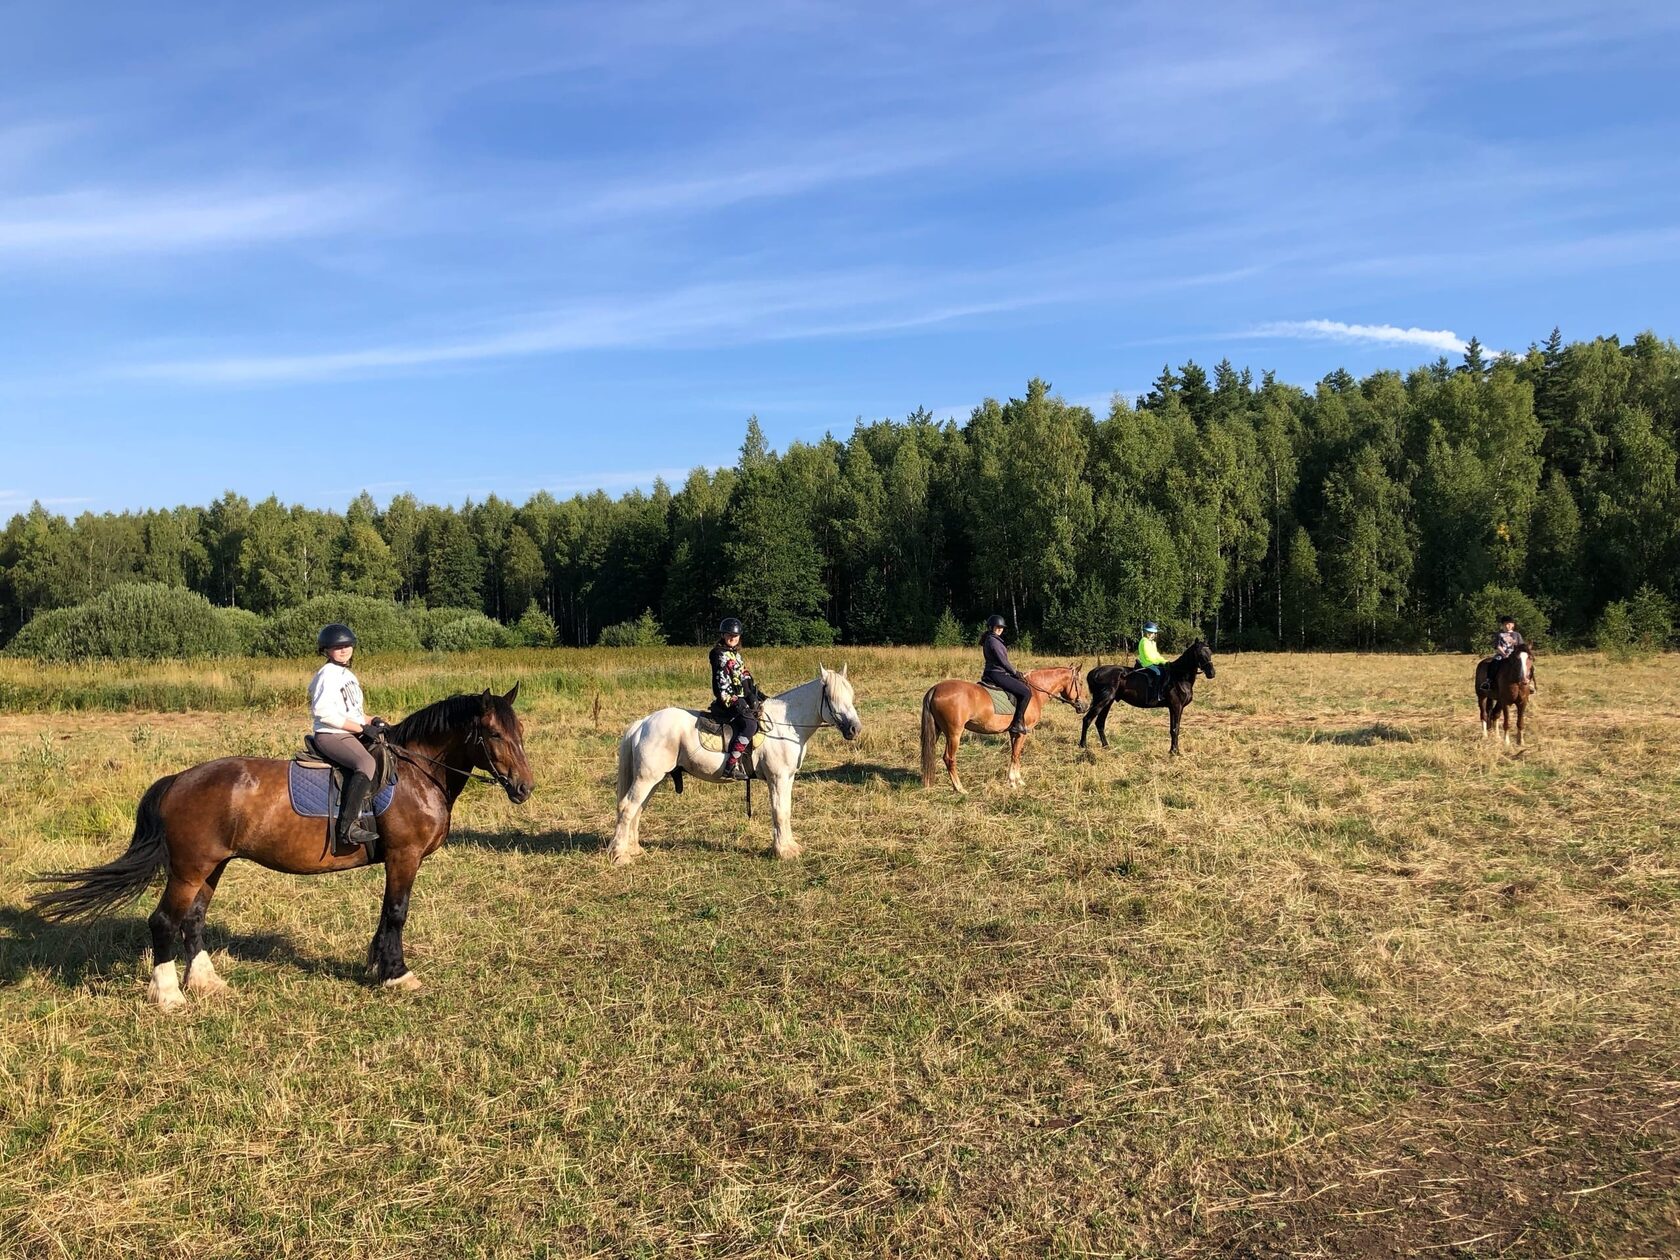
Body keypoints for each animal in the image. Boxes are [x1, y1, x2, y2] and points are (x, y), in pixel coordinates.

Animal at [31, 685, 530, 1014]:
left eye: (519, 730)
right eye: (494, 735)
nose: (524, 788)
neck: (416, 773)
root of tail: (178, 780)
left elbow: (386, 913)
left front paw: (376, 964)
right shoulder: (403, 857)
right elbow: (396, 912)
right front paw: (396, 973)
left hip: (212, 866)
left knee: (194, 919)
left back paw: (207, 983)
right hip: (190, 868)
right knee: (164, 922)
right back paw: (169, 996)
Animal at [611, 665, 860, 866]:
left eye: (851, 695)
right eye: (831, 697)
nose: (854, 729)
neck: (787, 725)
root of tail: (643, 723)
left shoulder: (787, 778)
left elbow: (786, 811)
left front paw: (790, 846)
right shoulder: (777, 778)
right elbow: (779, 812)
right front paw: (783, 852)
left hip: (654, 779)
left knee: (638, 809)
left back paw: (634, 849)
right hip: (647, 778)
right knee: (627, 807)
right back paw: (620, 855)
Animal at [920, 665, 1088, 792]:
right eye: (1080, 683)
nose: (1085, 706)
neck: (1034, 692)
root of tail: (935, 688)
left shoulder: (1014, 732)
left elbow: (1014, 754)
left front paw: (1015, 780)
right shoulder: (1022, 733)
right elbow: (1017, 754)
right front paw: (1014, 782)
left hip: (938, 731)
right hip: (954, 734)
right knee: (949, 758)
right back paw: (960, 788)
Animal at [1081, 641, 1216, 759]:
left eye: (1210, 652)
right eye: (1199, 654)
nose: (1211, 673)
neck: (1179, 677)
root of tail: (1095, 672)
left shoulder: (1175, 708)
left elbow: (1173, 729)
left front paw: (1172, 751)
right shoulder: (1176, 706)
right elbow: (1175, 729)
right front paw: (1175, 752)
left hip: (1108, 702)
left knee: (1100, 723)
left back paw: (1106, 746)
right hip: (1102, 700)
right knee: (1087, 719)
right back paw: (1083, 746)